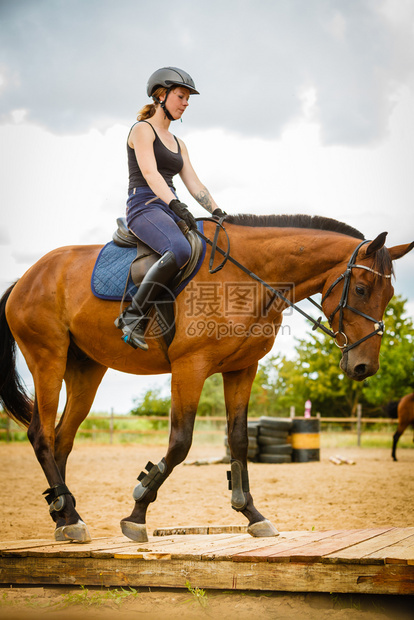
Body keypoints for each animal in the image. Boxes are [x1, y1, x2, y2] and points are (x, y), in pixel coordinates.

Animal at [0, 214, 412, 544]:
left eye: (390, 293)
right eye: (361, 289)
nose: (364, 367)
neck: (247, 280)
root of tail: (27, 276)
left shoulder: (242, 369)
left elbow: (239, 441)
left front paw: (252, 515)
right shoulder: (190, 367)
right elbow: (180, 443)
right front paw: (137, 513)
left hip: (86, 369)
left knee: (62, 440)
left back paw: (65, 516)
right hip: (48, 360)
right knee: (42, 435)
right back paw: (69, 515)